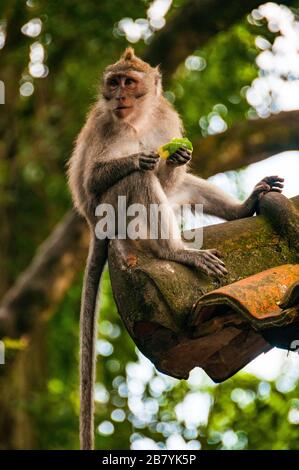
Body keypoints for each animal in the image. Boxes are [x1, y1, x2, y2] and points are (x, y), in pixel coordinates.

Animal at [67, 46, 284, 448]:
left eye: (129, 82)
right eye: (114, 83)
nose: (117, 96)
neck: (136, 120)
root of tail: (95, 228)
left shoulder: (165, 119)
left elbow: (173, 175)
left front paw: (177, 157)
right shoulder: (106, 126)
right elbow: (93, 180)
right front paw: (138, 157)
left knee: (181, 186)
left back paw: (242, 207)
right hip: (111, 211)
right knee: (138, 181)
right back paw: (174, 251)